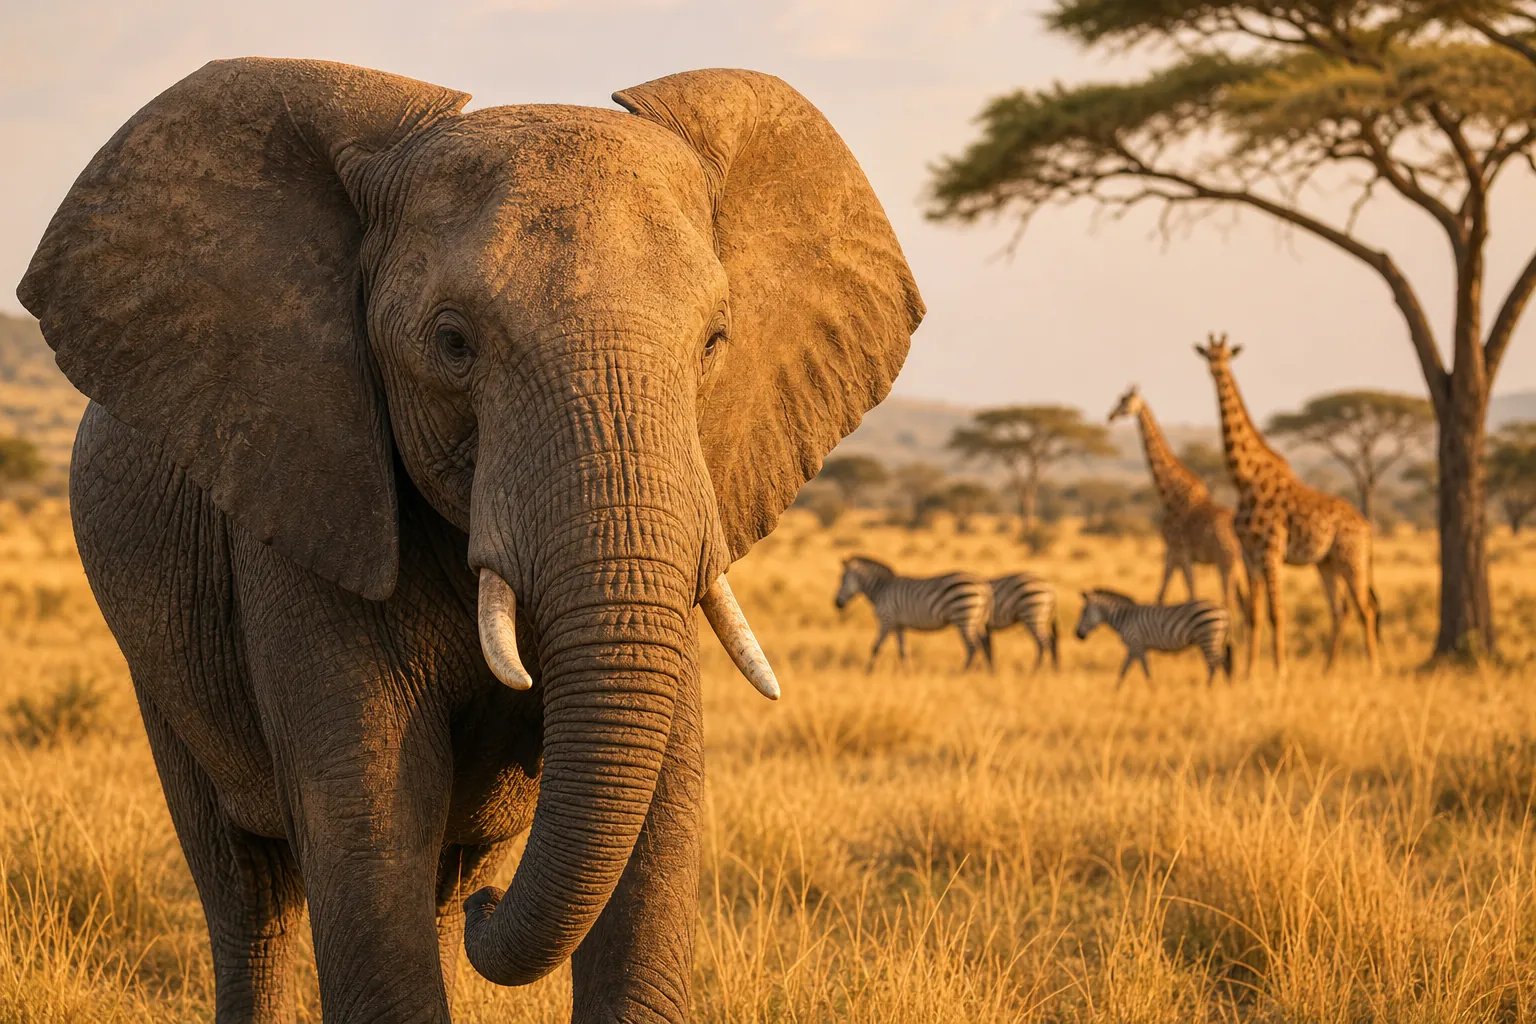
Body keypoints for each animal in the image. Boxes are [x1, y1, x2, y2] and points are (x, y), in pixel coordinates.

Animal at [18, 58, 922, 1023]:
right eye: (453, 343)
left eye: (715, 341)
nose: (501, 904)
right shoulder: (306, 493)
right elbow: (370, 832)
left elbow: (659, 821)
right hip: (157, 660)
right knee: (250, 897)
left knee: (437, 886)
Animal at [835, 556, 994, 672]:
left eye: (842, 579)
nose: (836, 603)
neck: (881, 589)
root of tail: (983, 586)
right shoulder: (898, 625)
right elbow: (903, 650)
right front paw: (908, 672)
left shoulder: (886, 620)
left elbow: (875, 647)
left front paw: (868, 671)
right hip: (977, 620)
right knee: (985, 644)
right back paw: (989, 672)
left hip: (963, 617)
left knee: (973, 647)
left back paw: (962, 672)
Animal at [1074, 588, 1232, 686]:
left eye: (1084, 611)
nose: (1077, 635)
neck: (1123, 618)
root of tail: (1223, 609)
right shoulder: (1134, 648)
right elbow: (1124, 670)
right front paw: (1115, 690)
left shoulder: (1136, 643)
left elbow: (1144, 670)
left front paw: (1152, 689)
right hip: (1211, 639)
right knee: (1219, 661)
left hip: (1208, 636)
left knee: (1216, 663)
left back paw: (1211, 688)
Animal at [1109, 385, 1246, 625]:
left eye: (1125, 402)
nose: (1111, 415)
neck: (1170, 494)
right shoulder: (1172, 553)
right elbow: (1162, 593)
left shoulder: (1179, 551)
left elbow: (1189, 592)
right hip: (1241, 566)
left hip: (1226, 562)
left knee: (1230, 603)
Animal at [1195, 334, 1380, 676]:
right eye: (1208, 355)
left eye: (1225, 356)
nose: (1216, 370)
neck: (1244, 478)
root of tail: (1367, 526)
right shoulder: (1249, 555)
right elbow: (1253, 616)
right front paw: (1249, 673)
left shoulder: (1271, 552)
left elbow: (1275, 613)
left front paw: (1280, 671)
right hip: (1326, 562)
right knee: (1340, 609)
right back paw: (1327, 670)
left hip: (1351, 558)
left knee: (1365, 608)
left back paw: (1374, 670)